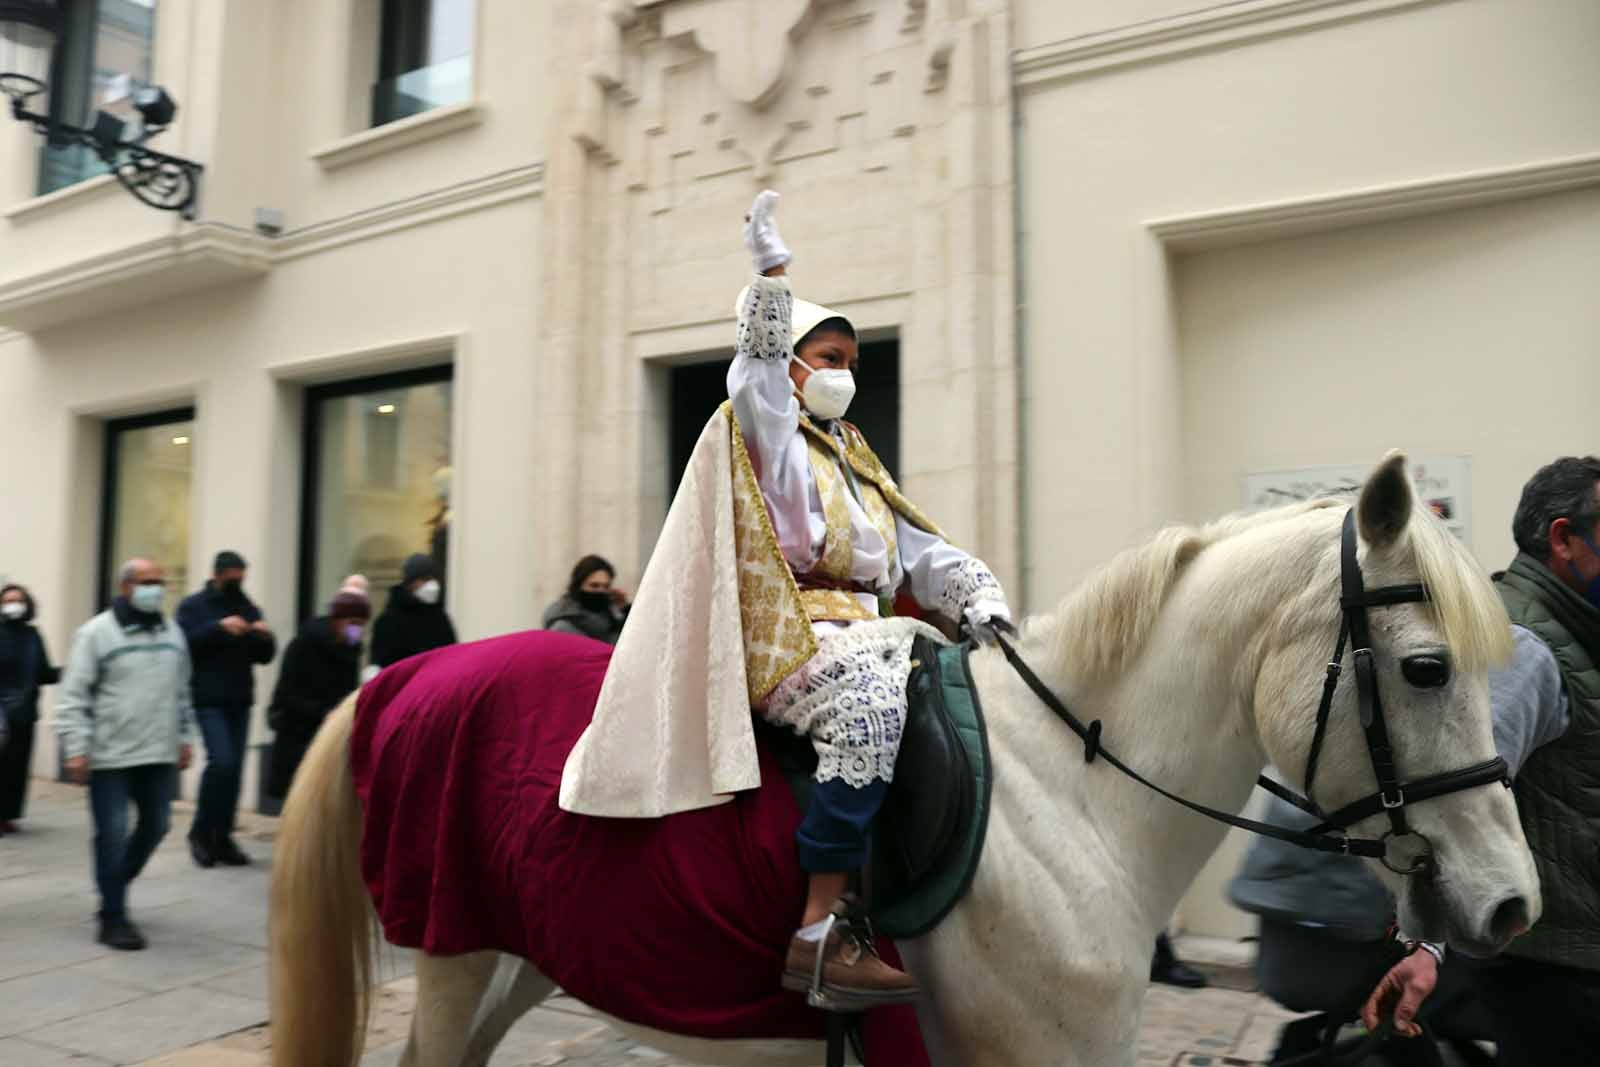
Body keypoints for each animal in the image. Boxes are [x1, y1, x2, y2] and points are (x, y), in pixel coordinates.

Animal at [268, 454, 1542, 1067]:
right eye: (1427, 666)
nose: (1512, 902)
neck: (1074, 803)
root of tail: (398, 675)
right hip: (452, 956)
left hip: (514, 961)